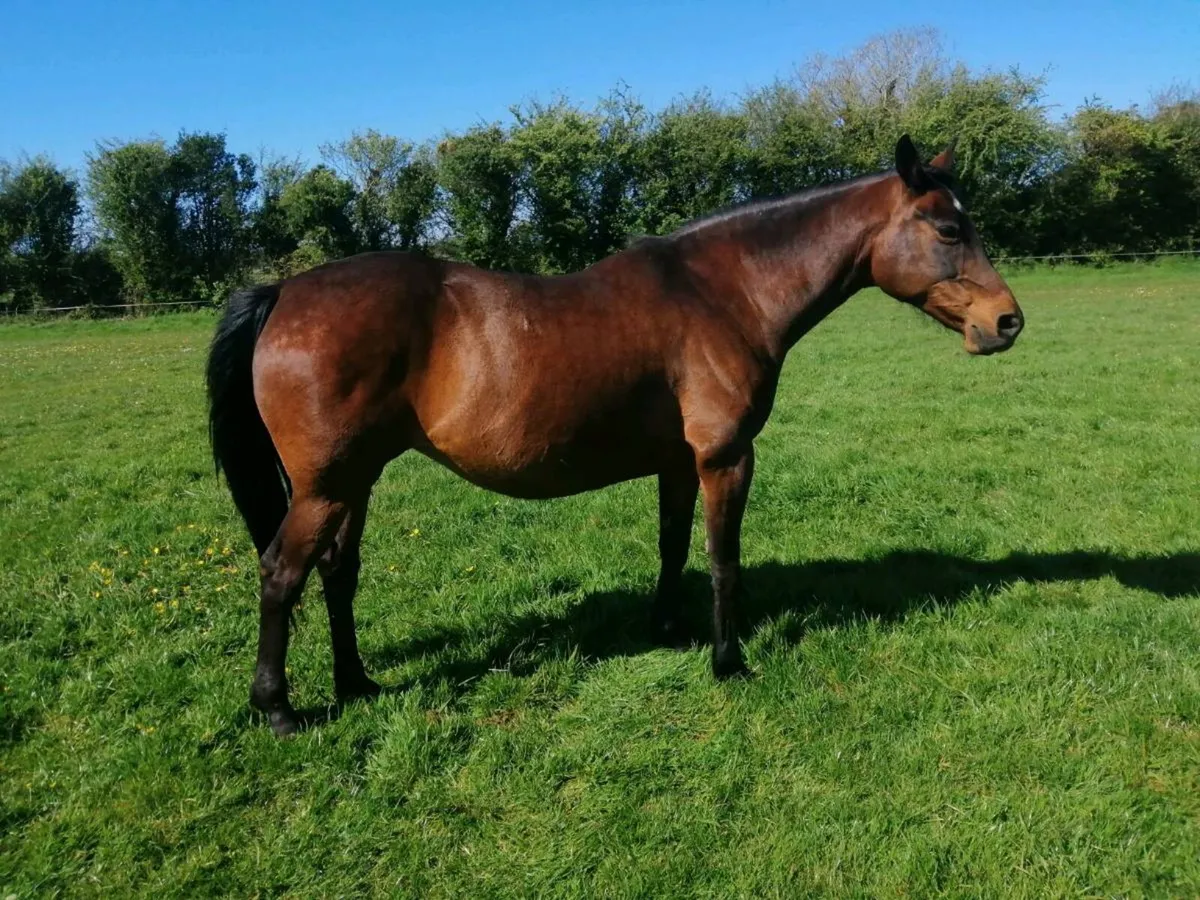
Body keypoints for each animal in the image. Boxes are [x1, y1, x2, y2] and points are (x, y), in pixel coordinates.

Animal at [206, 135, 1024, 736]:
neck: (723, 294)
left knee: (337, 572)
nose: (1007, 322)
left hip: (354, 480)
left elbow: (672, 545)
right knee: (282, 573)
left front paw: (666, 627)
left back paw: (357, 681)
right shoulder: (726, 458)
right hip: (324, 487)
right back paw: (278, 710)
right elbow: (723, 558)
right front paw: (728, 659)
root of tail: (286, 290)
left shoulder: (679, 462)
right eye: (949, 229)